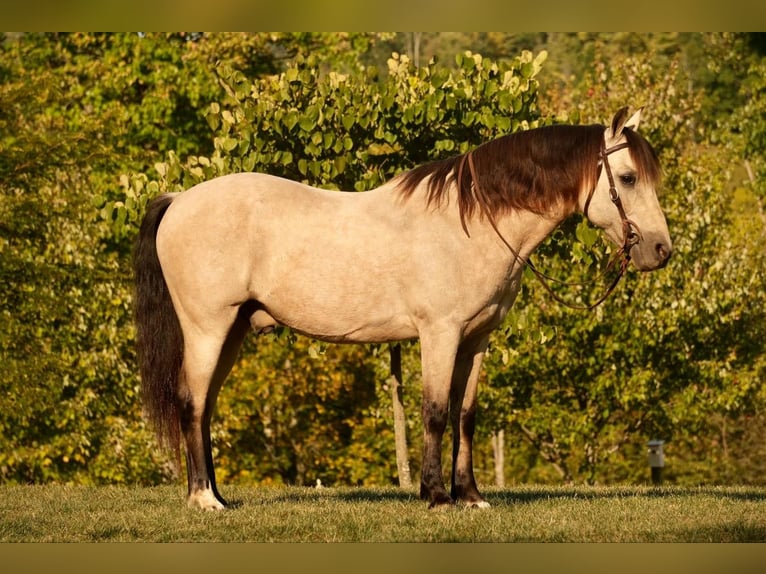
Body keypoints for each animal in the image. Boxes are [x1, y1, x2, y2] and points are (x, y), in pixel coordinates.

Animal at [136, 106, 672, 510]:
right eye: (627, 178)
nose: (661, 250)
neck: (473, 222)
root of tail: (179, 199)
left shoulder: (477, 340)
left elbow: (465, 415)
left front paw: (470, 495)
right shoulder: (440, 333)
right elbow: (434, 411)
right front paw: (436, 496)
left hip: (232, 331)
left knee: (205, 406)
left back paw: (216, 495)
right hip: (207, 328)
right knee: (192, 401)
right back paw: (204, 499)